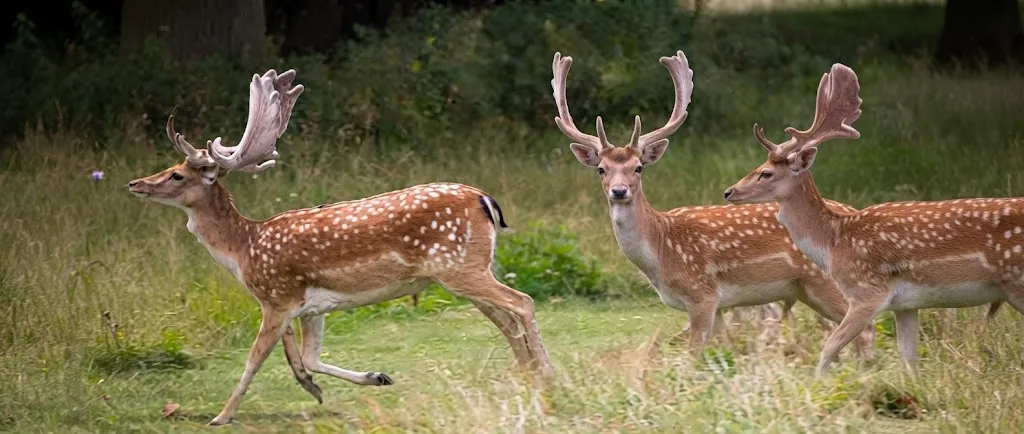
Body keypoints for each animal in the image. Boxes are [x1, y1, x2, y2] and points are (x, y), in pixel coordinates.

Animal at [127, 69, 552, 425]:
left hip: (460, 267)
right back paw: (527, 375)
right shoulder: (311, 307)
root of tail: (485, 200)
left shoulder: (277, 298)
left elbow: (254, 360)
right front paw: (371, 378)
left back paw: (545, 376)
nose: (134, 183)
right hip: (465, 271)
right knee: (506, 320)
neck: (245, 250)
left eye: (176, 175)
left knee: (522, 303)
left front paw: (221, 416)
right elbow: (309, 358)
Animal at [551, 50, 875, 356]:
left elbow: (693, 355)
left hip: (831, 282)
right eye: (601, 169)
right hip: (808, 291)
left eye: (638, 167)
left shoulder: (702, 295)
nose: (619, 191)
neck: (661, 250)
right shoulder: (719, 306)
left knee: (866, 330)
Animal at [722, 62, 1013, 376]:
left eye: (766, 173)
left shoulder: (868, 293)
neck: (834, 241)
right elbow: (909, 360)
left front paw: (820, 382)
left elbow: (830, 346)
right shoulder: (906, 304)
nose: (729, 191)